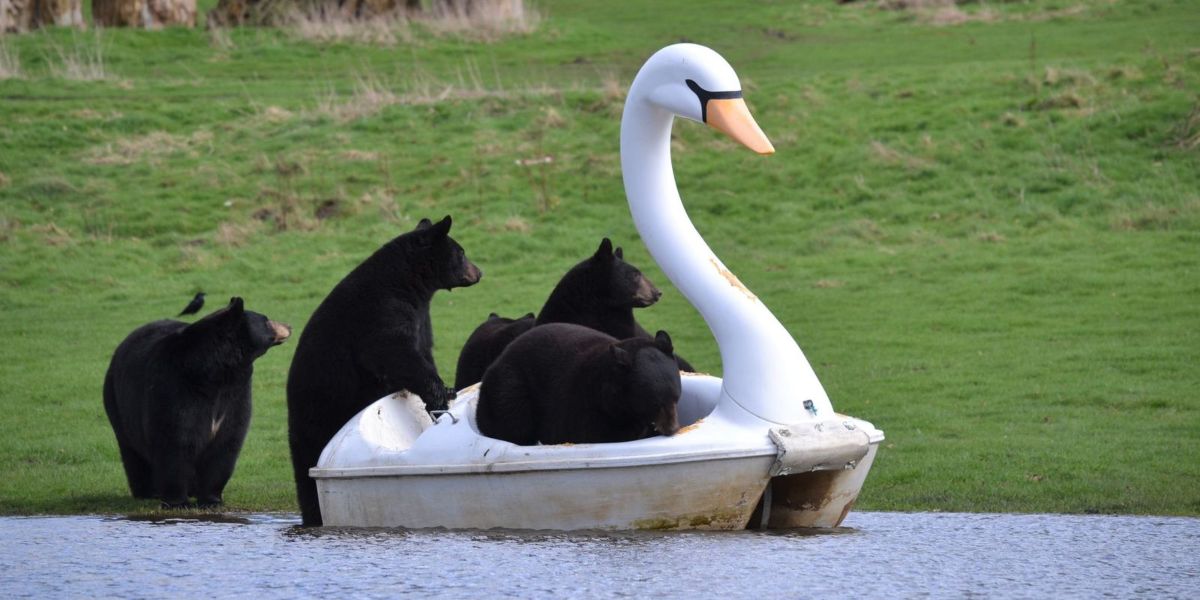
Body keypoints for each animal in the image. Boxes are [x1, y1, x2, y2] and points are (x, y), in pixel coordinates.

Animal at [102, 295, 291, 506]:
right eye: (266, 320)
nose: (289, 326)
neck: (215, 372)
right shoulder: (176, 389)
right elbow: (176, 441)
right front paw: (178, 501)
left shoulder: (236, 395)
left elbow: (226, 442)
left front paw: (212, 499)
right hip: (117, 402)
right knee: (132, 451)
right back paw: (148, 491)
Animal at [288, 216, 480, 525]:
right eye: (461, 252)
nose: (478, 272)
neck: (408, 283)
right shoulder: (381, 311)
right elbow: (392, 352)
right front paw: (438, 395)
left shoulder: (421, 317)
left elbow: (423, 350)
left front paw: (447, 389)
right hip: (318, 413)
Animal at [477, 324, 686, 446]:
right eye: (655, 404)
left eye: (676, 398)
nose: (673, 429)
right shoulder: (583, 406)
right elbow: (595, 433)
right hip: (509, 387)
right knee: (514, 418)